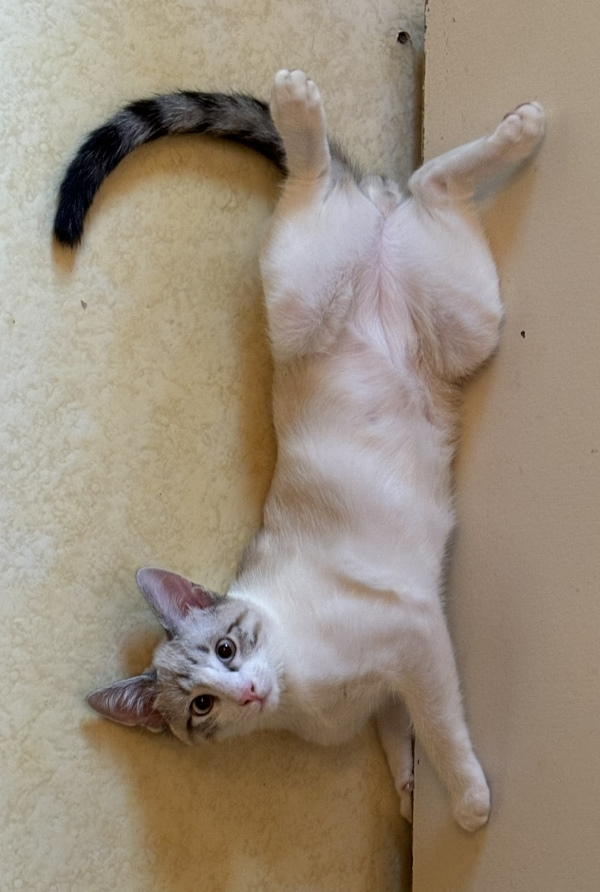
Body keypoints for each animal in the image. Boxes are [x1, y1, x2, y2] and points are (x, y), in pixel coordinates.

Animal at [55, 69, 544, 831]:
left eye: (227, 648)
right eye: (202, 705)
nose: (248, 693)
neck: (303, 691)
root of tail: (376, 239)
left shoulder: (415, 637)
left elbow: (440, 725)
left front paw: (464, 799)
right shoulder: (388, 687)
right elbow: (399, 727)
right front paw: (409, 787)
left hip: (304, 284)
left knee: (344, 182)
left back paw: (301, 108)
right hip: (466, 317)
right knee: (429, 186)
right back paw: (504, 136)